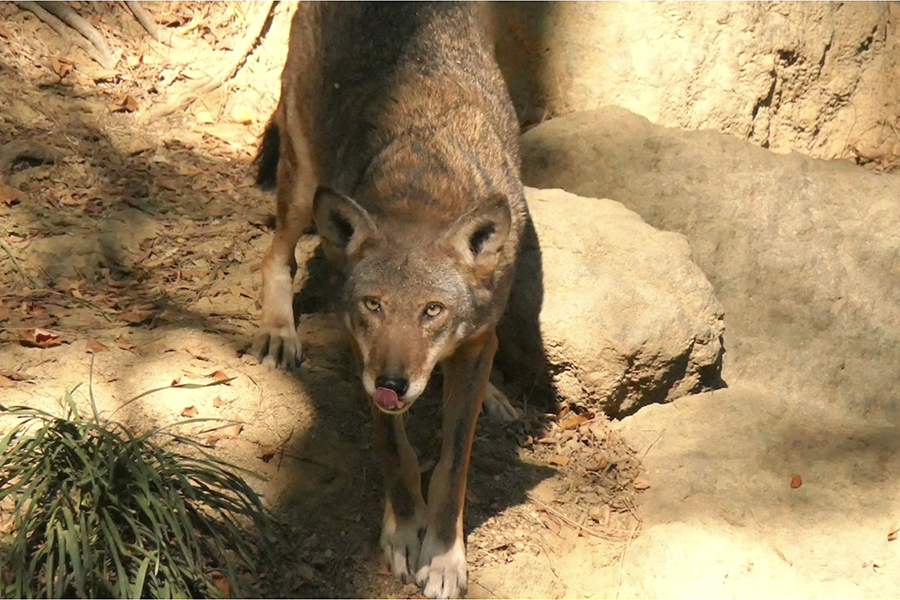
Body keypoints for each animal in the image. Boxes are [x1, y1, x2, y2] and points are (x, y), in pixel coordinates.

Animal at [249, 3, 525, 597]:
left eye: (432, 311)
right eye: (373, 305)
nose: (393, 384)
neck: (425, 189)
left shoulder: (474, 344)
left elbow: (454, 462)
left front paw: (442, 557)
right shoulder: (362, 352)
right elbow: (395, 452)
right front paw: (404, 534)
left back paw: (495, 395)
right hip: (304, 185)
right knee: (278, 255)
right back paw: (279, 333)